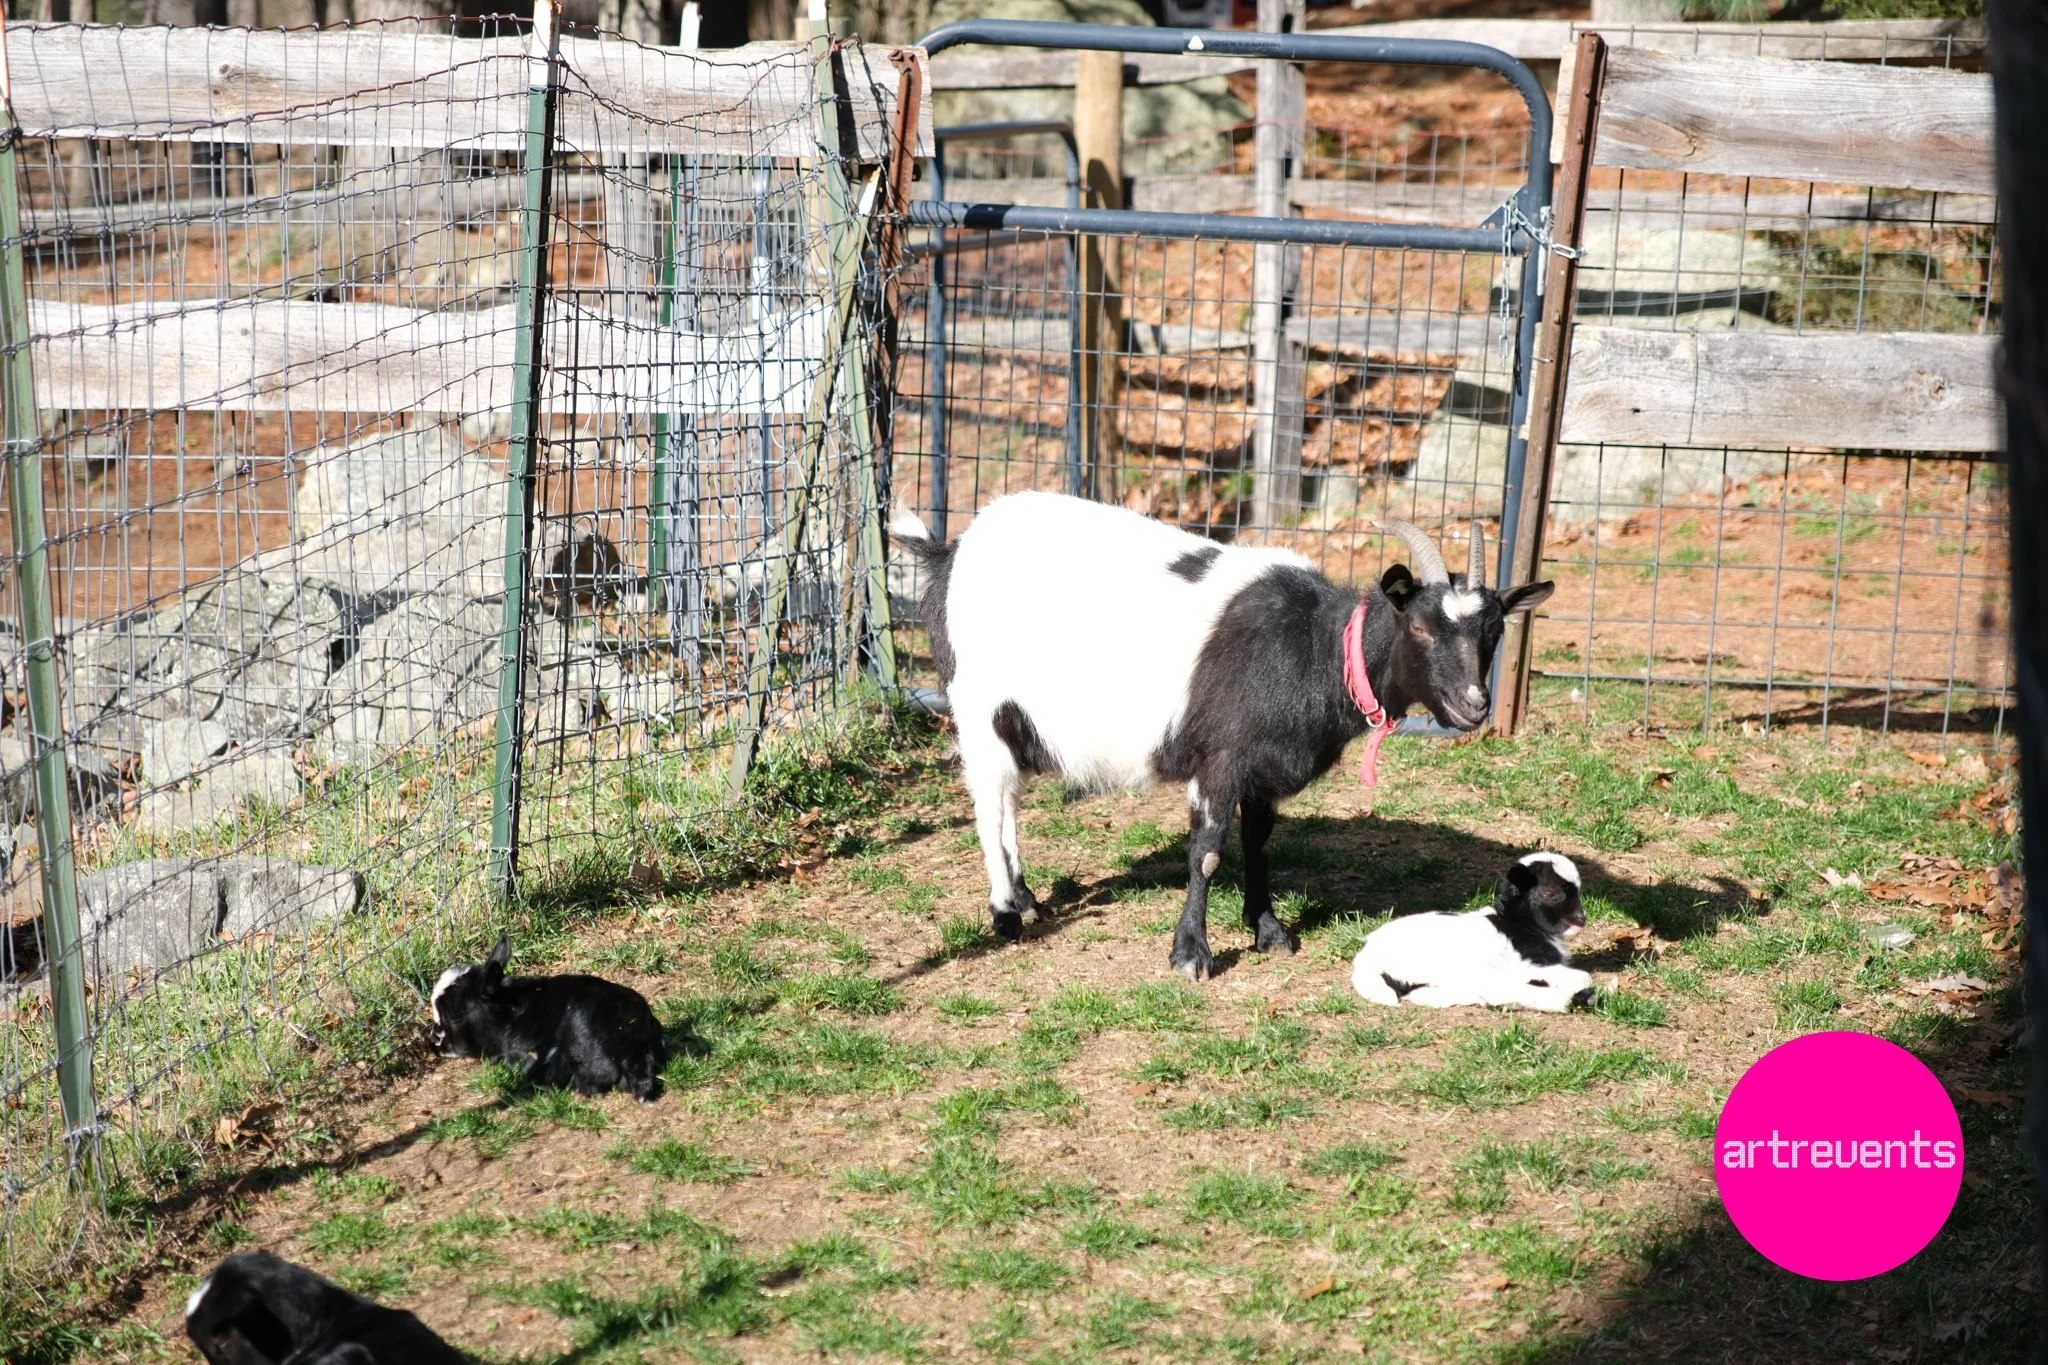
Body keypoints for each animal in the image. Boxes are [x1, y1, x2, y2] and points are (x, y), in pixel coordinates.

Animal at [891, 492, 1553, 980]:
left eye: (1494, 630)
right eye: (1418, 625)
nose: (1474, 705)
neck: (1312, 646)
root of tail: (950, 553)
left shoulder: (1263, 766)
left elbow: (1258, 843)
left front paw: (1268, 930)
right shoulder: (1220, 757)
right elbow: (1207, 851)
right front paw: (1191, 955)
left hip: (1018, 720)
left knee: (1008, 801)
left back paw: (1027, 897)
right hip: (975, 703)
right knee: (987, 802)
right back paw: (1004, 912)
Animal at [1351, 852, 1593, 1012]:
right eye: (1551, 893)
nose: (1581, 918)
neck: (1516, 923)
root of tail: (1367, 960)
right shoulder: (1529, 964)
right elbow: (1584, 976)